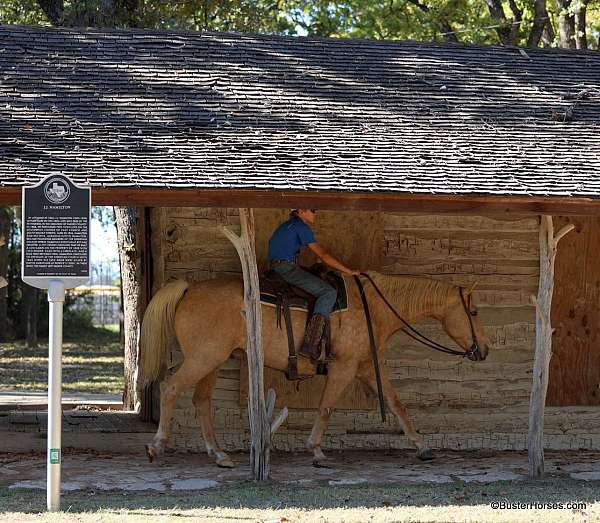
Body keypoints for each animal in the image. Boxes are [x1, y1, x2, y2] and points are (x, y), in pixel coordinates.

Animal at [141, 272, 492, 468]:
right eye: (474, 312)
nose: (485, 349)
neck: (374, 309)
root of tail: (190, 287)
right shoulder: (344, 367)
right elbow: (326, 407)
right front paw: (317, 451)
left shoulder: (368, 367)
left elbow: (397, 405)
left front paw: (423, 447)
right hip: (203, 359)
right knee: (170, 389)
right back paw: (157, 446)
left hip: (211, 362)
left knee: (201, 403)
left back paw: (219, 455)